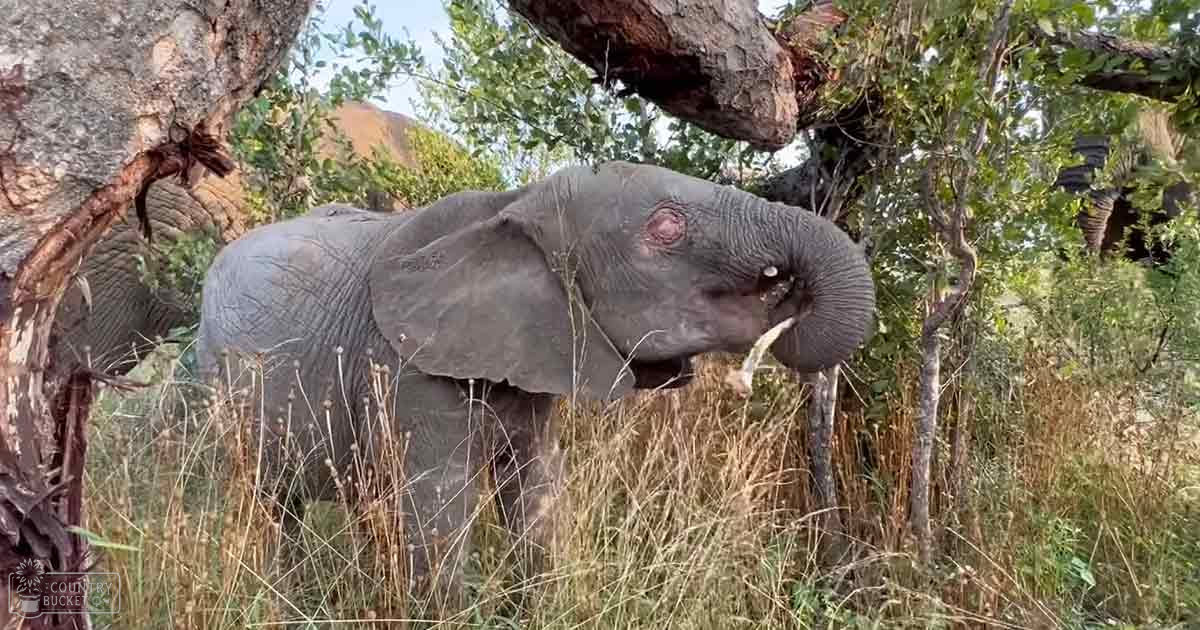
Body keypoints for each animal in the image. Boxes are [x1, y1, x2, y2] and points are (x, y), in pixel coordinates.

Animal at [194, 160, 877, 612]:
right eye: (666, 228)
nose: (785, 287)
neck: (519, 203)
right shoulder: (405, 366)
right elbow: (437, 517)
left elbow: (537, 497)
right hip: (215, 382)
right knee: (254, 501)